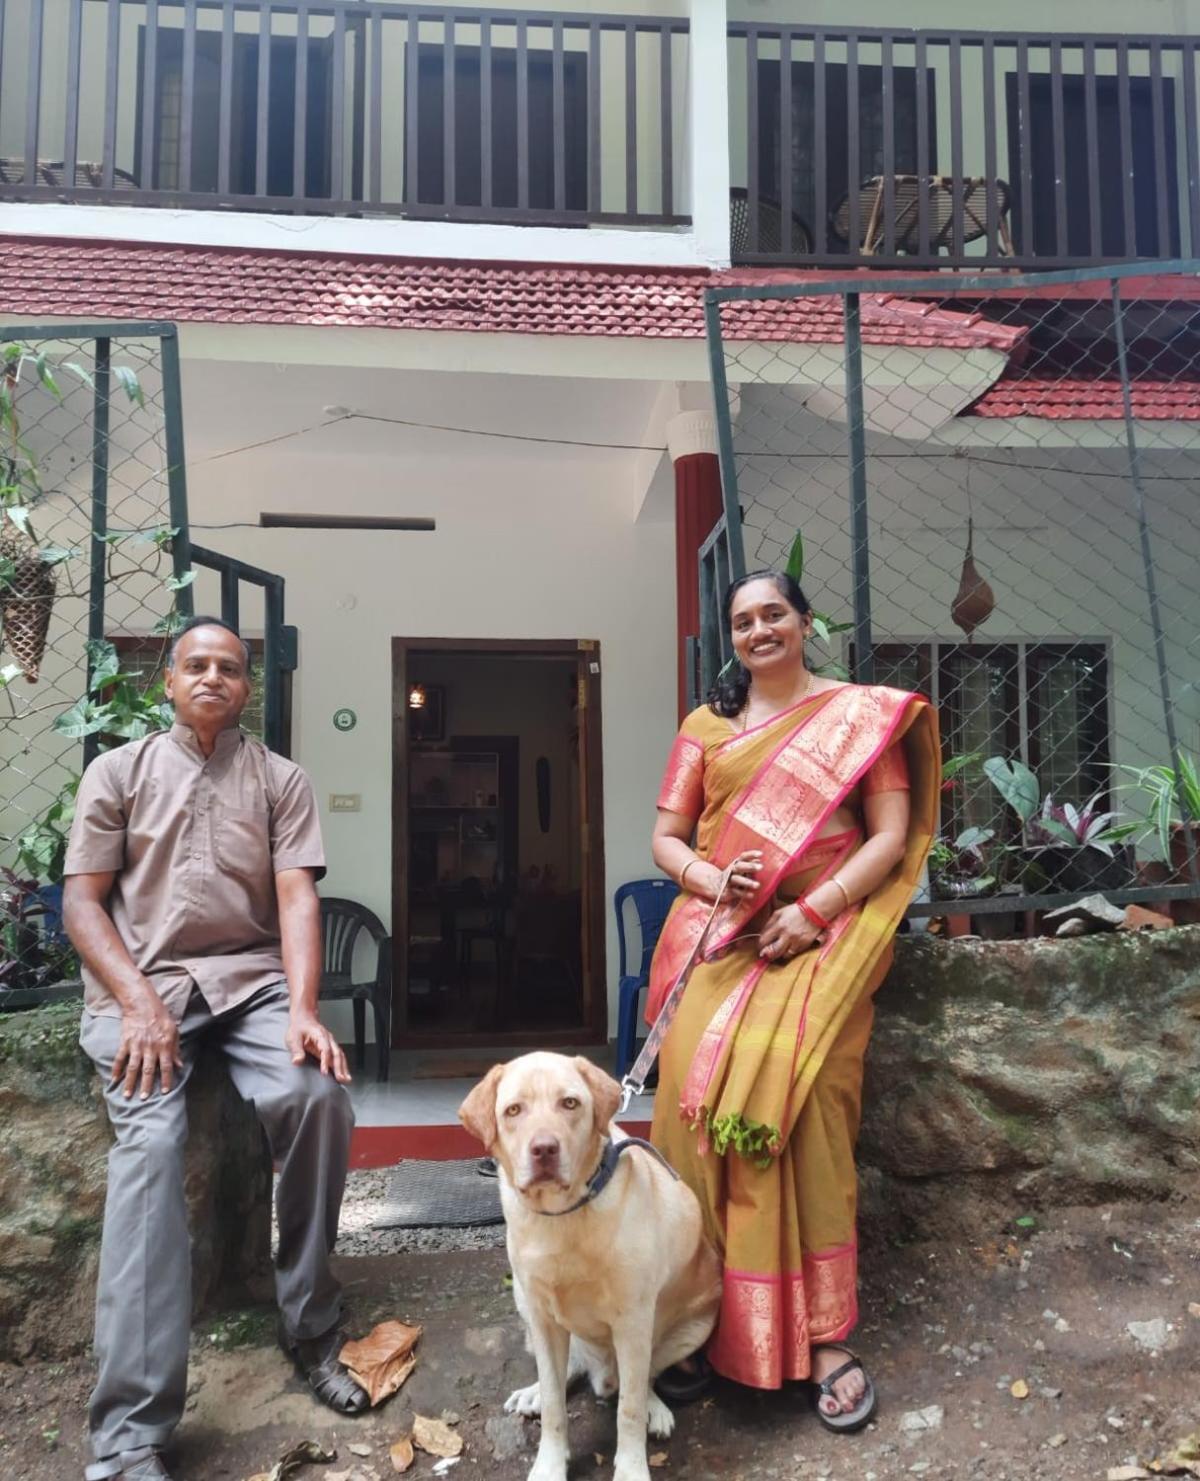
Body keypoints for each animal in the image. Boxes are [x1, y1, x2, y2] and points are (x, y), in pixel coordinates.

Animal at [459, 1054, 720, 1481]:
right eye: (513, 1110)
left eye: (570, 1103)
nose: (544, 1149)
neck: (563, 1216)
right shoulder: (543, 1320)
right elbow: (554, 1406)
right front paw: (549, 1465)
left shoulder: (633, 1322)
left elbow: (629, 1411)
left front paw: (631, 1469)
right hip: (524, 1301)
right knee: (568, 1369)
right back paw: (534, 1391)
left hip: (693, 1327)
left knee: (645, 1378)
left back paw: (654, 1407)